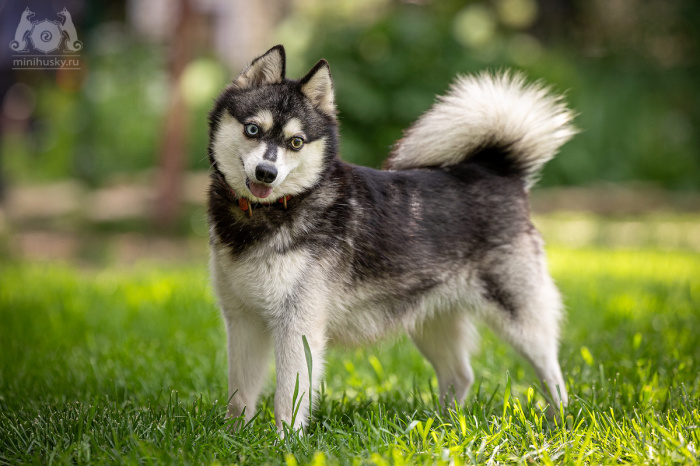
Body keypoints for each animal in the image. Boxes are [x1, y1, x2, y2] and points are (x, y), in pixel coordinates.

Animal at [205, 45, 576, 432]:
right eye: (252, 129)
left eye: (296, 142)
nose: (267, 172)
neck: (266, 213)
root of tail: (495, 169)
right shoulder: (243, 320)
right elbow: (240, 393)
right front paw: (233, 435)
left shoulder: (298, 326)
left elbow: (287, 398)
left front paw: (284, 439)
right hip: (431, 321)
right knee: (460, 375)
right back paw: (444, 425)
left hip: (520, 318)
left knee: (552, 372)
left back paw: (559, 420)